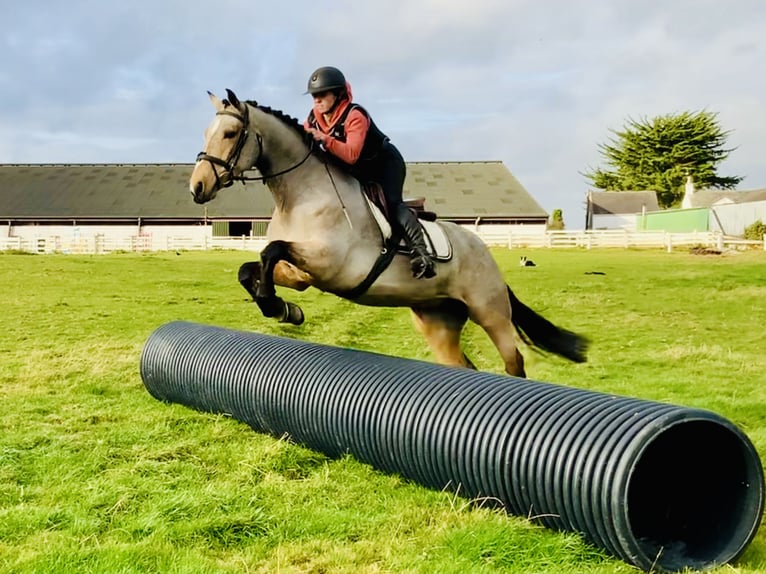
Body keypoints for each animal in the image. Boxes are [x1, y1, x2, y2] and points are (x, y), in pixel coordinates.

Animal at [189, 90, 592, 378]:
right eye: (205, 133)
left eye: (230, 133)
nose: (198, 187)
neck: (301, 194)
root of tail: (483, 250)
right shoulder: (303, 273)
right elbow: (252, 268)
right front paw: (285, 309)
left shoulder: (330, 264)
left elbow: (270, 250)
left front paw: (278, 306)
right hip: (437, 319)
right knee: (462, 365)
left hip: (490, 312)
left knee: (514, 363)